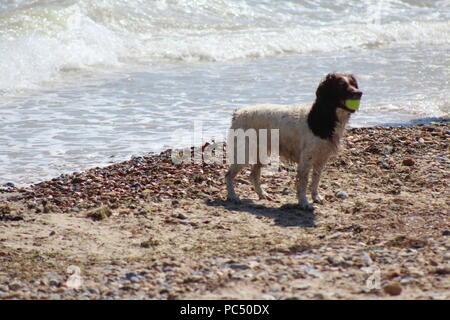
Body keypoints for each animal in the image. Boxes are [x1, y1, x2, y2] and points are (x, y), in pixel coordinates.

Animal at [225, 72, 362, 210]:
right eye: (341, 85)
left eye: (353, 84)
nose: (360, 93)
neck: (324, 116)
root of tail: (238, 113)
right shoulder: (306, 159)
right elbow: (303, 182)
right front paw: (304, 202)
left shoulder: (322, 158)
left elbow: (316, 179)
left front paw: (316, 197)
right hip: (244, 153)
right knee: (229, 175)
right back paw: (233, 196)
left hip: (261, 153)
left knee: (254, 174)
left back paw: (262, 194)